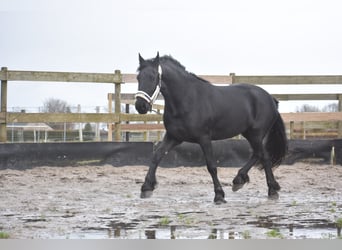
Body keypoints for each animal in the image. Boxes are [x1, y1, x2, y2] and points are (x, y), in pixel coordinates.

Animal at [135, 52, 288, 203]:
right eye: (138, 77)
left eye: (153, 77)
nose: (140, 106)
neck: (187, 99)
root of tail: (271, 99)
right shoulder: (173, 137)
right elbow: (156, 156)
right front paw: (146, 187)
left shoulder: (204, 138)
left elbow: (211, 166)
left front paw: (219, 195)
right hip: (249, 133)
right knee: (259, 154)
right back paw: (242, 181)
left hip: (256, 134)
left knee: (264, 156)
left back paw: (270, 189)